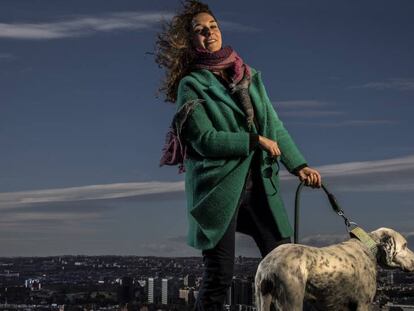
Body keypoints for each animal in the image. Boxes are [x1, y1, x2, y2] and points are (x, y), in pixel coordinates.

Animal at [254, 228, 414, 311]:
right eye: (405, 245)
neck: (368, 248)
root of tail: (268, 264)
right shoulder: (363, 303)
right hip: (292, 302)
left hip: (262, 299)